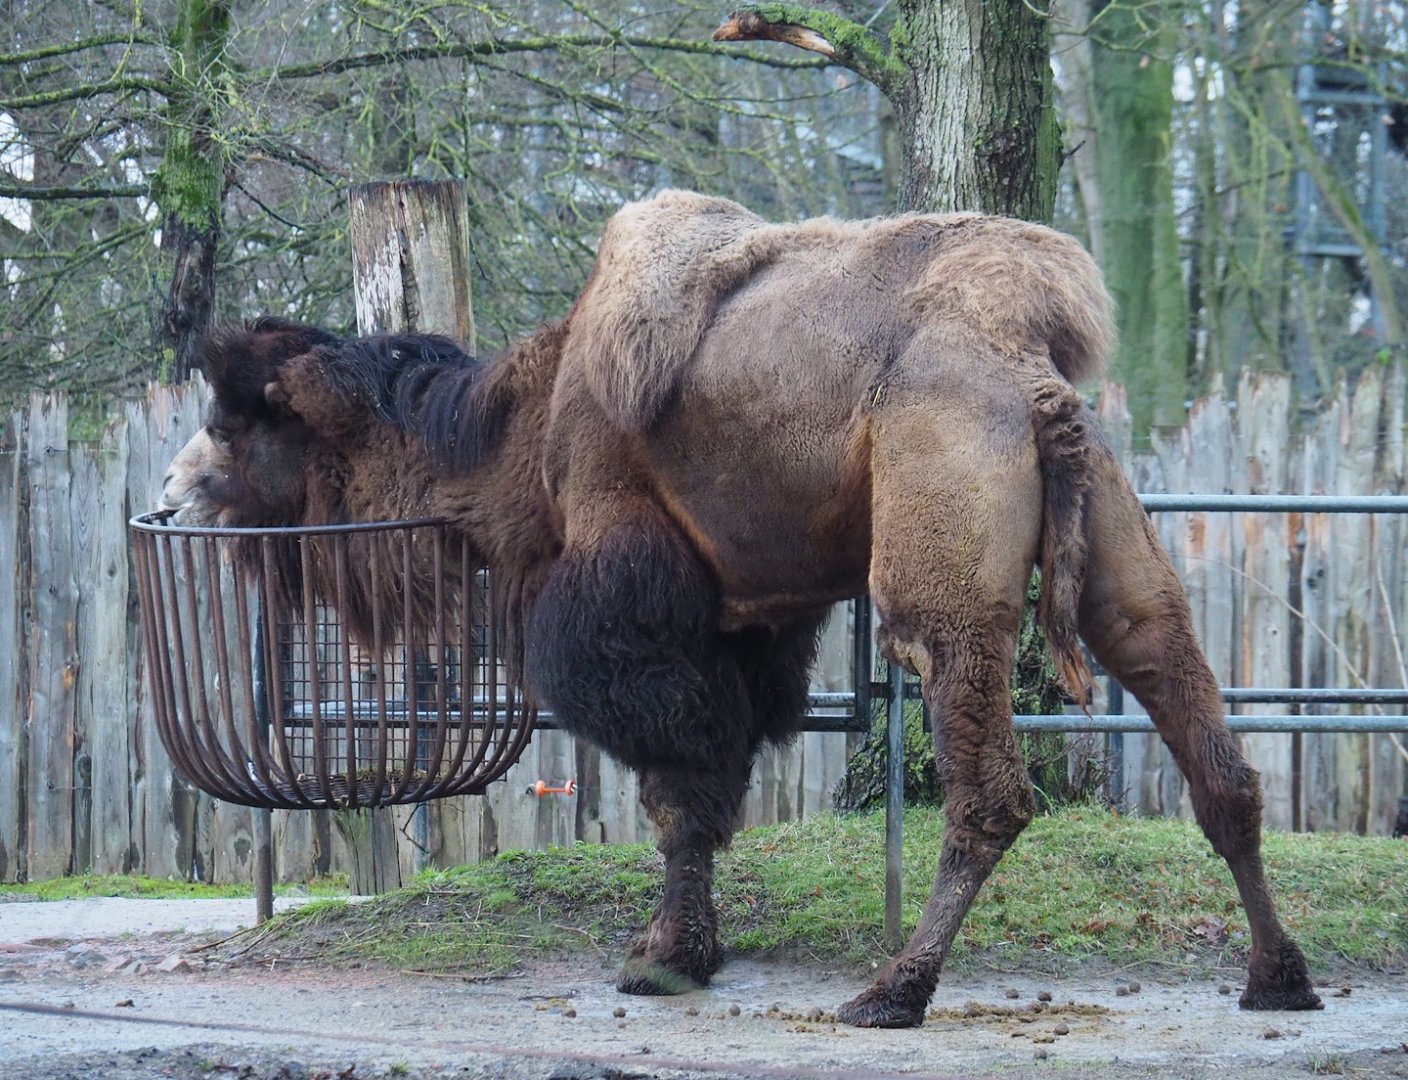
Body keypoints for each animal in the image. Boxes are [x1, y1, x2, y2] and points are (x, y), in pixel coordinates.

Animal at [160, 189, 1322, 1025]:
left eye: (233, 423)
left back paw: (893, 991)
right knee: (1196, 722)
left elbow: (675, 784)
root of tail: (1025, 364)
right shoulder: (751, 617)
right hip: (1121, 545)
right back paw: (1278, 977)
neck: (513, 437)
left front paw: (662, 963)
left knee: (989, 784)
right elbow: (713, 786)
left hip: (937, 566)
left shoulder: (631, 600)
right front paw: (679, 950)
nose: (173, 492)